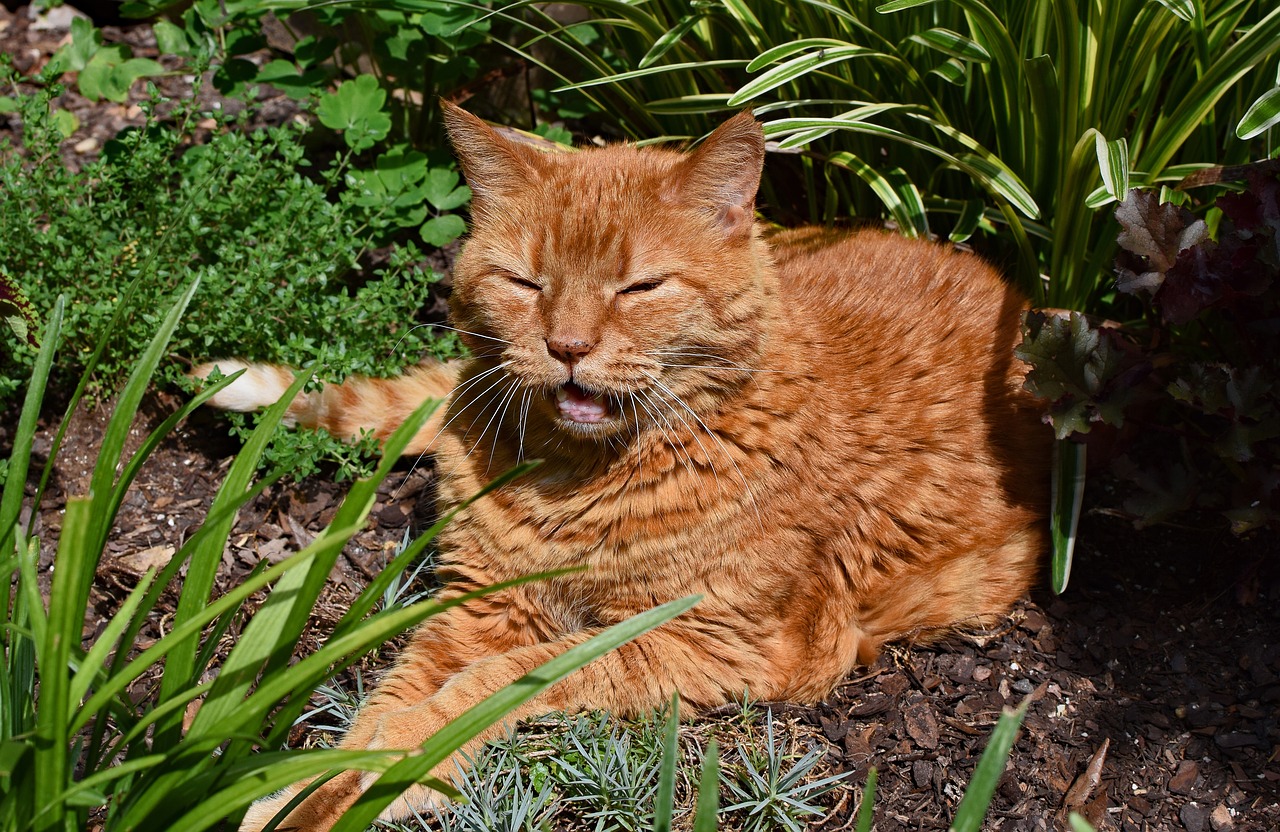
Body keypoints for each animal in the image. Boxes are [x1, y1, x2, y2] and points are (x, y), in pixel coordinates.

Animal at [204, 103, 1049, 829]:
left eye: (639, 287)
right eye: (526, 283)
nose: (568, 346)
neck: (569, 479)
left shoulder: (715, 642)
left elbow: (475, 694)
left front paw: (389, 775)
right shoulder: (476, 608)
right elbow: (377, 716)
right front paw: (302, 798)